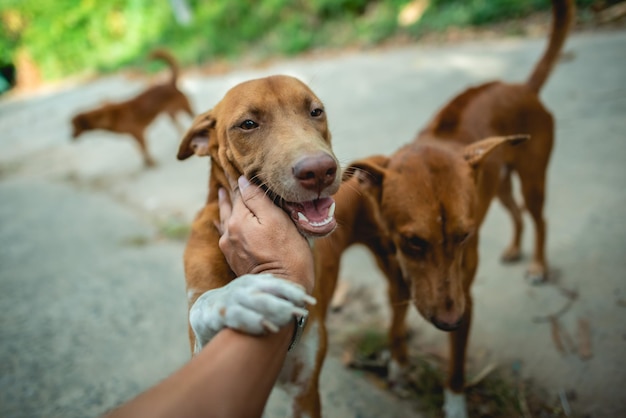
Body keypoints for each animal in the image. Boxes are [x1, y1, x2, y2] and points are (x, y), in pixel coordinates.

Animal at [176, 73, 342, 416]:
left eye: (315, 112)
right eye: (248, 124)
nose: (319, 170)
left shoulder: (305, 391)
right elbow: (203, 304)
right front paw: (241, 297)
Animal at [314, 1, 572, 416]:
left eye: (463, 236)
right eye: (413, 241)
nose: (450, 321)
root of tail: (519, 88)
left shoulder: (464, 296)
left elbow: (456, 368)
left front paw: (454, 404)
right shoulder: (397, 283)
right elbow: (394, 328)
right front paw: (398, 365)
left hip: (533, 180)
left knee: (539, 218)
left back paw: (537, 265)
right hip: (496, 183)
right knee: (515, 212)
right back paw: (515, 248)